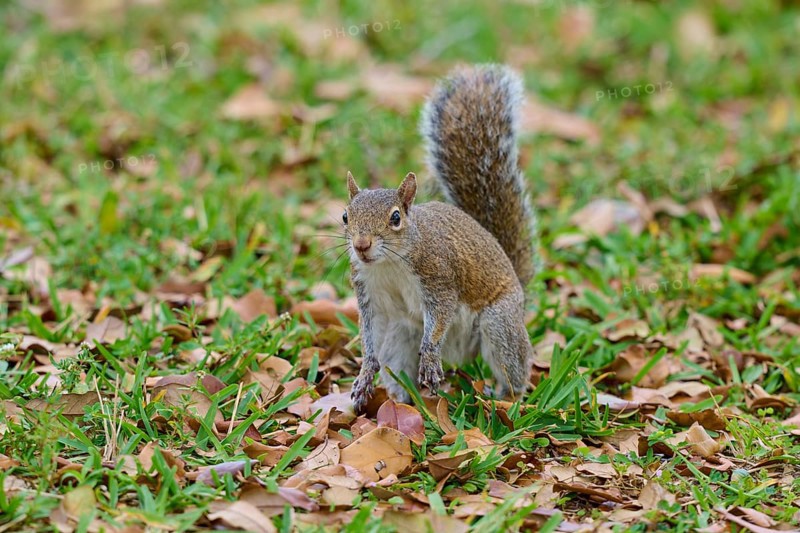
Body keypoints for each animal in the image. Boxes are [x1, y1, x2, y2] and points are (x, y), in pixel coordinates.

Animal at [344, 64, 537, 411]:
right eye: (345, 217)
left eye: (396, 218)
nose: (361, 245)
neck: (387, 264)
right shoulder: (368, 292)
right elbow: (369, 333)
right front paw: (365, 372)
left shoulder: (439, 277)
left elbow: (440, 316)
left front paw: (431, 358)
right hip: (400, 336)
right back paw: (401, 400)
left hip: (499, 323)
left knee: (514, 368)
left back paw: (504, 395)